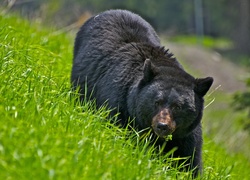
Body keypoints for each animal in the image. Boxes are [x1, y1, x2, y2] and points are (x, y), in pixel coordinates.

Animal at [71, 9, 214, 177]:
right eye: (157, 102)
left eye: (178, 106)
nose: (162, 126)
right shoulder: (119, 106)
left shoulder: (186, 135)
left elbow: (189, 160)